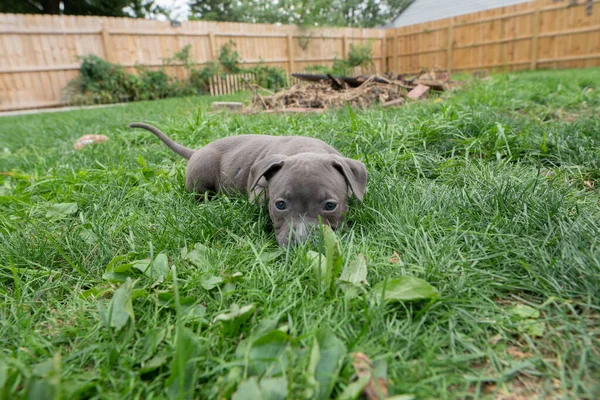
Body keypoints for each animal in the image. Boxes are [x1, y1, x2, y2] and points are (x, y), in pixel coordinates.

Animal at [129, 122, 368, 247]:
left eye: (330, 206)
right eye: (280, 205)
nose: (301, 241)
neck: (306, 150)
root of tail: (196, 151)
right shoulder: (258, 190)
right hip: (202, 172)